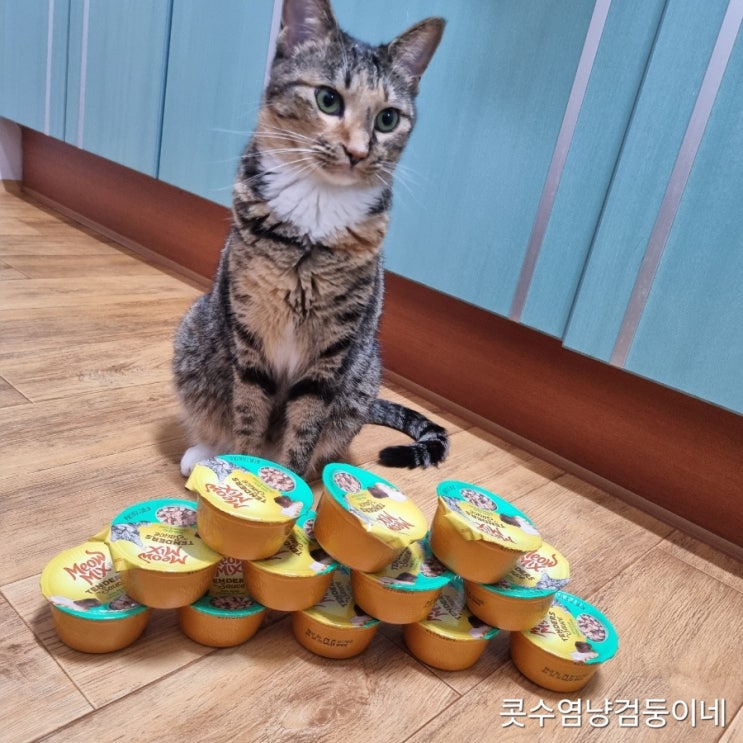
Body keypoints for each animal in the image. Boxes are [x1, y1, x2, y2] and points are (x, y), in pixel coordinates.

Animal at [173, 0, 448, 479]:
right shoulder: (250, 334)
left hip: (361, 377)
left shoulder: (332, 352)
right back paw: (206, 456)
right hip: (196, 334)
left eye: (388, 119)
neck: (316, 210)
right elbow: (248, 413)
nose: (358, 152)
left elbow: (304, 428)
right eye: (328, 100)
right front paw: (246, 471)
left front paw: (289, 483)